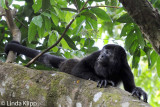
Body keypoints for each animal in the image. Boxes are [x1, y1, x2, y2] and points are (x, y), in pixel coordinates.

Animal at [4, 40, 148, 102]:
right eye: (102, 51)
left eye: (107, 52)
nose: (102, 55)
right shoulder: (94, 55)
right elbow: (79, 68)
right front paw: (102, 80)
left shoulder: (125, 67)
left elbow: (129, 88)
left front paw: (137, 90)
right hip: (68, 64)